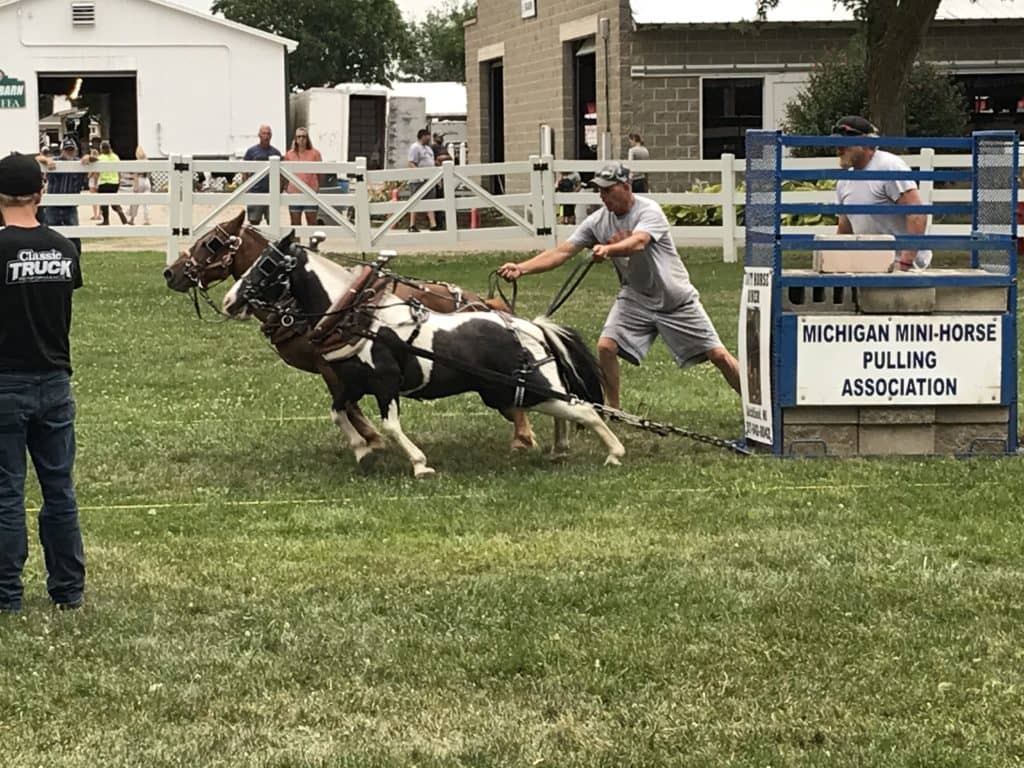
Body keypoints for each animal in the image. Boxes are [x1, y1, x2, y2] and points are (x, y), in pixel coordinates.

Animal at [163, 208, 540, 462]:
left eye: (210, 243)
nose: (170, 273)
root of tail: (480, 300)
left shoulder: (331, 367)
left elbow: (349, 406)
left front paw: (370, 441)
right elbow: (346, 405)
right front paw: (369, 441)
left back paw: (523, 434)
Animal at [224, 231, 622, 479]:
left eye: (267, 265)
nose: (230, 300)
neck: (357, 318)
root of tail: (530, 327)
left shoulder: (385, 383)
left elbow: (390, 425)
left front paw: (419, 464)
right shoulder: (351, 383)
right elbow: (337, 413)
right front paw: (363, 451)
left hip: (525, 387)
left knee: (583, 409)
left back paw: (614, 453)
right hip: (510, 391)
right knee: (564, 411)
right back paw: (559, 449)